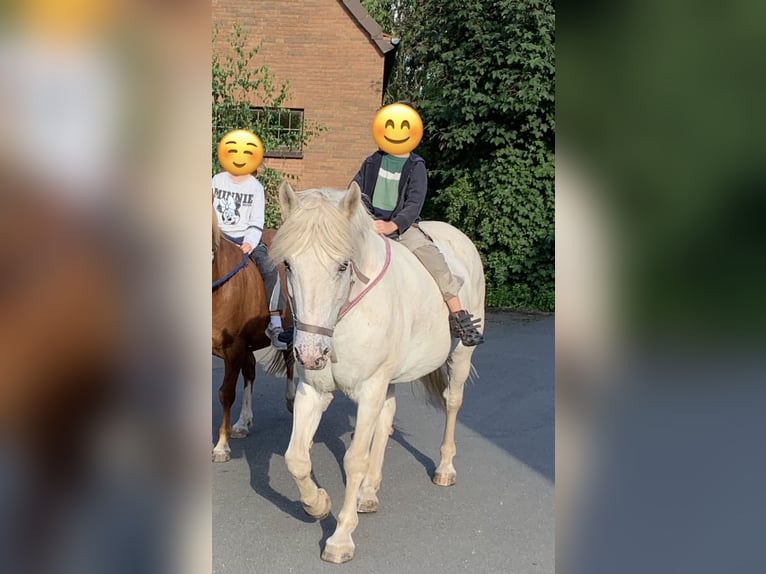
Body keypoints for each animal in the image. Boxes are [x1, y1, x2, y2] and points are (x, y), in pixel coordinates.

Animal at [212, 211, 295, 462]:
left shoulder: (234, 348)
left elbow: (226, 393)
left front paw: (221, 446)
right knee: (250, 371)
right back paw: (242, 422)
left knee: (289, 361)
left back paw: (291, 400)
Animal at [270, 181, 485, 563]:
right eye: (289, 264)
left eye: (343, 266)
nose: (310, 354)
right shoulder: (314, 390)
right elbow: (296, 457)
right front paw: (318, 503)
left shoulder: (369, 389)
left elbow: (355, 458)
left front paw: (341, 538)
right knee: (385, 420)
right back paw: (368, 492)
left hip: (460, 356)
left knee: (452, 402)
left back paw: (444, 469)